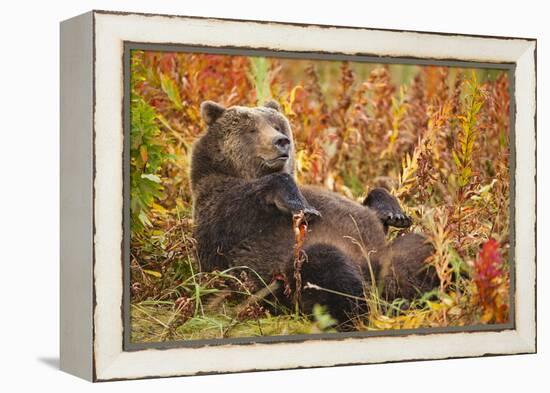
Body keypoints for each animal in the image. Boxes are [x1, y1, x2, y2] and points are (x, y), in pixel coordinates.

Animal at [191, 99, 440, 324]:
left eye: (277, 125)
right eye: (251, 129)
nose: (281, 142)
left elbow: (372, 208)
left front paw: (395, 213)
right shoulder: (223, 209)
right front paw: (303, 206)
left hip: (394, 256)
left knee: (422, 248)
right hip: (291, 276)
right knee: (326, 266)